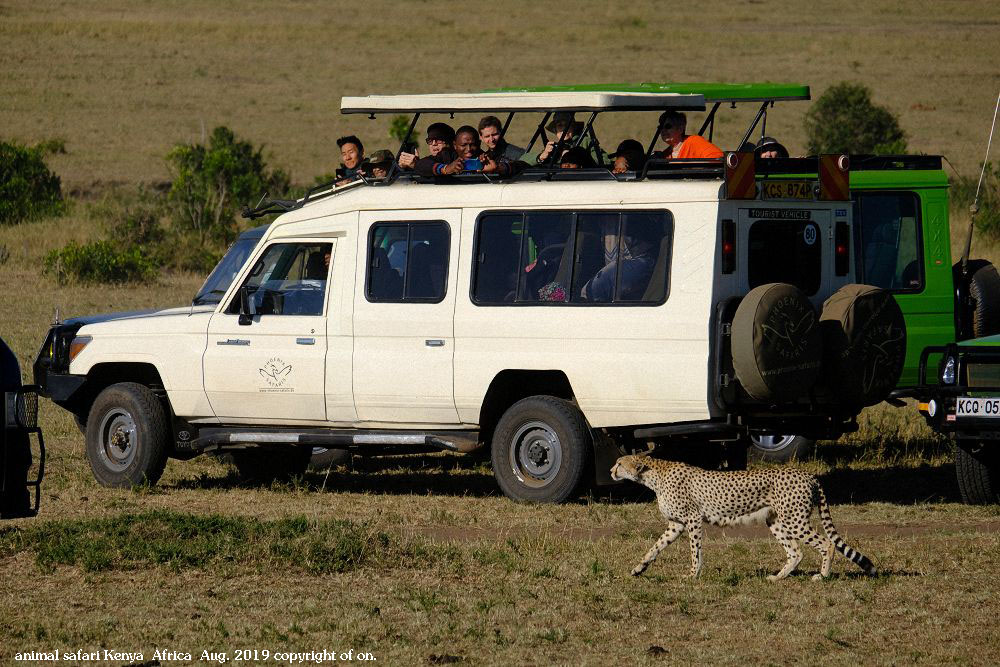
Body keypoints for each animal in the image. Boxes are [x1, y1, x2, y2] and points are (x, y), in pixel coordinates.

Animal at [608, 456, 884, 580]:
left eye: (620, 463)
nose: (611, 471)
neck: (654, 475)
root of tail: (809, 475)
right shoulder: (676, 524)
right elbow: (654, 547)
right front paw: (639, 568)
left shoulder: (693, 520)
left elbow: (695, 550)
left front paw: (693, 575)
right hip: (776, 521)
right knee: (796, 552)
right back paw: (778, 577)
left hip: (795, 520)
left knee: (826, 543)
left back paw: (822, 576)